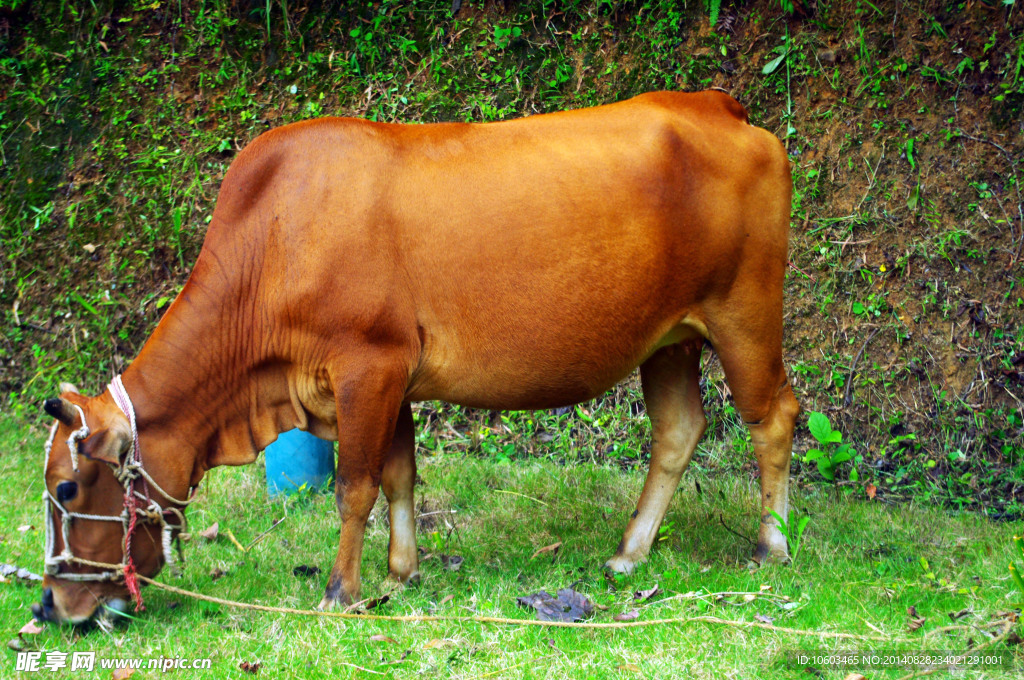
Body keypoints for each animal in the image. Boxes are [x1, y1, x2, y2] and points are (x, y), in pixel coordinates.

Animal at [36, 91, 798, 626]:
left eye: (67, 490)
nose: (49, 606)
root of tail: (717, 105)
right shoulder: (392, 377)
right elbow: (400, 474)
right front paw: (402, 572)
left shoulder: (367, 366)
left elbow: (355, 486)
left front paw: (341, 590)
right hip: (670, 338)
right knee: (678, 430)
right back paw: (630, 553)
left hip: (745, 313)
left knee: (774, 418)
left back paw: (772, 546)